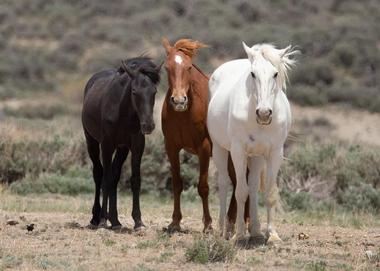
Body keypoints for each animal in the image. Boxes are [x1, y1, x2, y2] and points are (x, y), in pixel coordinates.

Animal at [82, 56, 162, 230]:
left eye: (154, 91)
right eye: (134, 91)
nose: (148, 125)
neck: (122, 112)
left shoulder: (136, 145)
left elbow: (135, 179)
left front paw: (138, 221)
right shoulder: (106, 145)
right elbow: (105, 178)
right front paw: (103, 221)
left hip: (122, 149)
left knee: (114, 176)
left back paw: (115, 221)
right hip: (91, 142)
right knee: (99, 174)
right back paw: (96, 218)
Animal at [161, 38, 212, 234]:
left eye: (189, 67)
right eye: (166, 67)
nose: (179, 100)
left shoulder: (204, 148)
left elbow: (203, 187)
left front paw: (208, 225)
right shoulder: (172, 147)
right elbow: (177, 184)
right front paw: (175, 222)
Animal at [206, 42, 298, 244]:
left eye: (275, 74)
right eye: (253, 74)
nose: (264, 113)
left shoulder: (275, 153)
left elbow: (269, 193)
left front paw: (272, 235)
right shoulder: (238, 151)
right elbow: (241, 191)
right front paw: (239, 235)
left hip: (256, 157)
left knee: (254, 186)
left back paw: (256, 231)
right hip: (219, 149)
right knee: (224, 183)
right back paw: (222, 230)